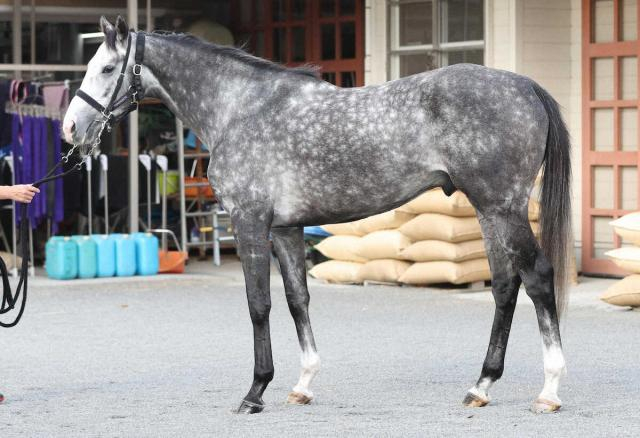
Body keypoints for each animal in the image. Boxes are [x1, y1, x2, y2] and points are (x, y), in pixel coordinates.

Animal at [61, 16, 572, 415]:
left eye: (107, 68)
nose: (70, 129)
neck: (237, 108)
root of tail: (525, 86)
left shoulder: (250, 222)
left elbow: (259, 305)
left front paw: (255, 391)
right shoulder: (286, 229)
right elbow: (296, 300)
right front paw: (302, 384)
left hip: (502, 208)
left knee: (538, 277)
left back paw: (549, 391)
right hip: (488, 210)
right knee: (504, 286)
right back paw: (481, 386)